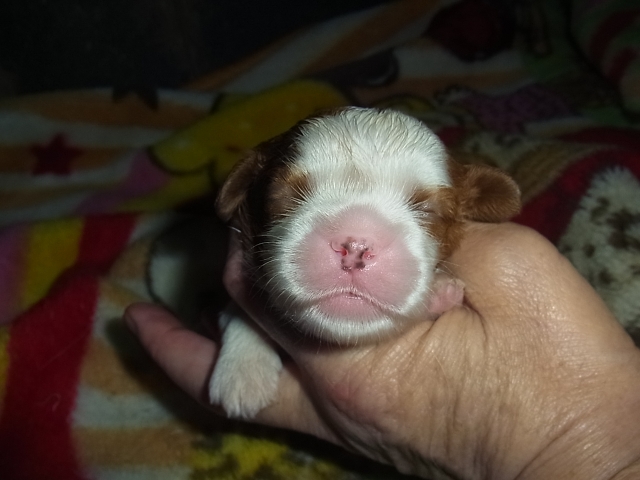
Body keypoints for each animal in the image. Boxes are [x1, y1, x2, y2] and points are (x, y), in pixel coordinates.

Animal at [209, 107, 521, 418]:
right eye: (283, 196)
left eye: (428, 210)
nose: (355, 247)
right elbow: (235, 309)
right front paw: (243, 366)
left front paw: (440, 293)